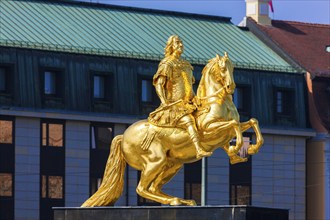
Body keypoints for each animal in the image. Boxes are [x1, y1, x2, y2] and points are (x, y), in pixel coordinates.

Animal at [82, 52, 262, 207]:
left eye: (233, 68)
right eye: (223, 68)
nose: (231, 86)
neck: (214, 101)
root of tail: (123, 136)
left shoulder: (226, 133)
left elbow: (252, 122)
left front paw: (247, 149)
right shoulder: (209, 130)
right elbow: (234, 125)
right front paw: (237, 148)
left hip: (173, 164)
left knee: (153, 188)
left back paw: (182, 200)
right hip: (156, 161)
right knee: (141, 188)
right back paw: (175, 200)